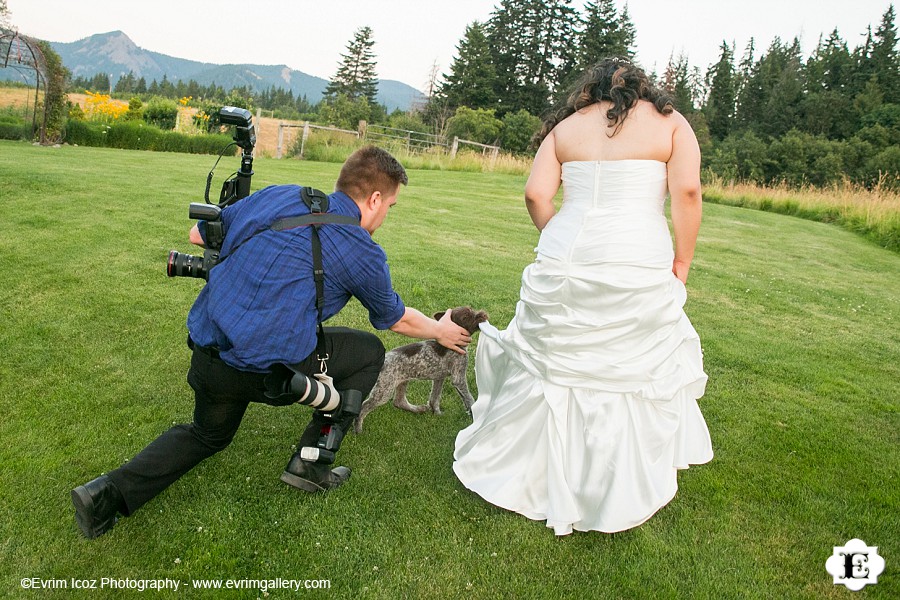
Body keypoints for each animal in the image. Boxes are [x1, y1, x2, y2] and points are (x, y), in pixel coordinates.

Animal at [356, 310, 488, 432]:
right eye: (466, 316)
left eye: (472, 310)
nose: (483, 314)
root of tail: (382, 361)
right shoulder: (458, 378)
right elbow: (469, 398)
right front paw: (476, 417)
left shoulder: (439, 378)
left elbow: (435, 398)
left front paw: (437, 414)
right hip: (384, 390)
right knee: (364, 406)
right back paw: (357, 429)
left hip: (401, 380)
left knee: (399, 401)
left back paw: (418, 409)